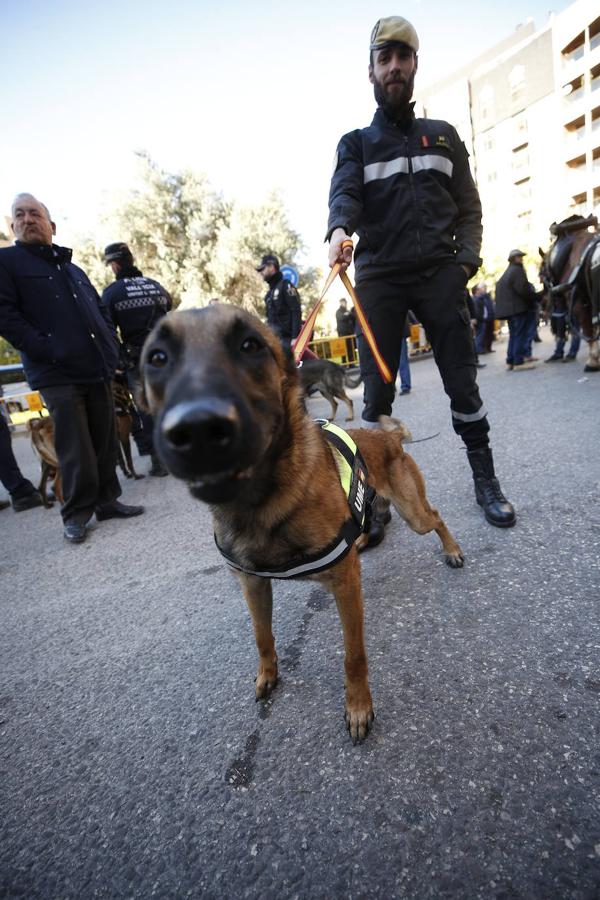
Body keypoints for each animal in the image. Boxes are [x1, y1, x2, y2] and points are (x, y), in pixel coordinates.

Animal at [141, 306, 464, 740]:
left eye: (250, 346)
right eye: (157, 358)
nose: (197, 428)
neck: (263, 503)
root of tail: (388, 438)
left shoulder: (345, 588)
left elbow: (354, 656)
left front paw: (358, 707)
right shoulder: (253, 585)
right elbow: (262, 637)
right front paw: (267, 675)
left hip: (414, 513)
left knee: (437, 518)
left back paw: (453, 550)